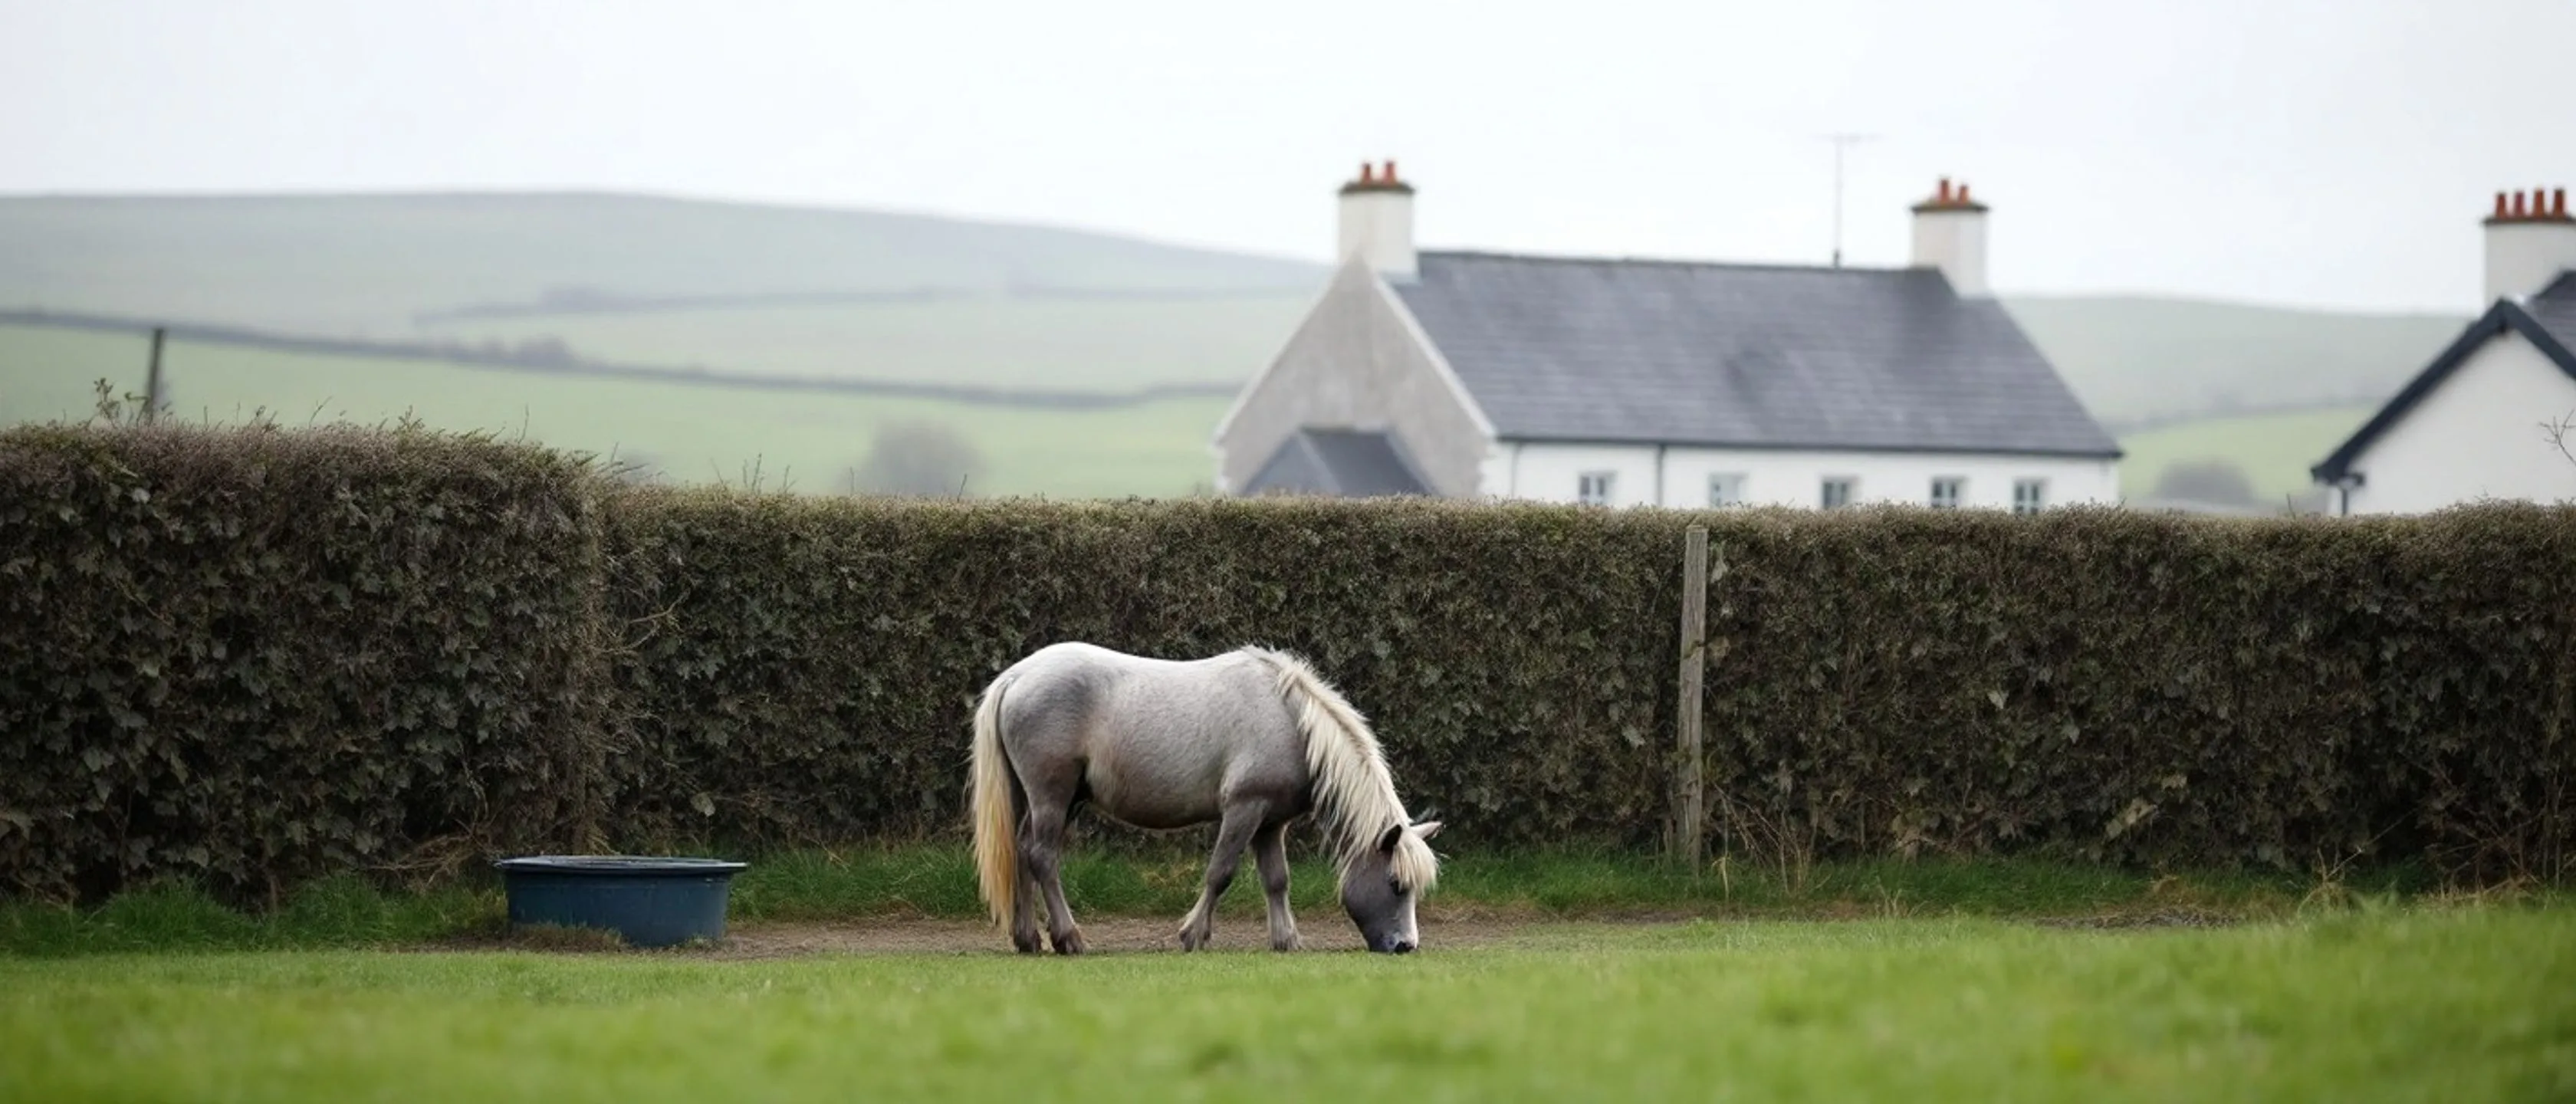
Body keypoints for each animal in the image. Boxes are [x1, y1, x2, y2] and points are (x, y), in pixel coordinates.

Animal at [968, 641, 1443, 955]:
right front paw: (1193, 935)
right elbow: (1221, 873)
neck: (1290, 721)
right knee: (1043, 857)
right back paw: (1069, 938)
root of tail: (1017, 677)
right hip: (1052, 796)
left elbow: (1277, 880)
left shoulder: (1270, 823)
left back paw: (1028, 939)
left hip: (1049, 800)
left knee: (1023, 851)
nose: (1405, 945)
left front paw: (1285, 940)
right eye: (1396, 883)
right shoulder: (1243, 810)